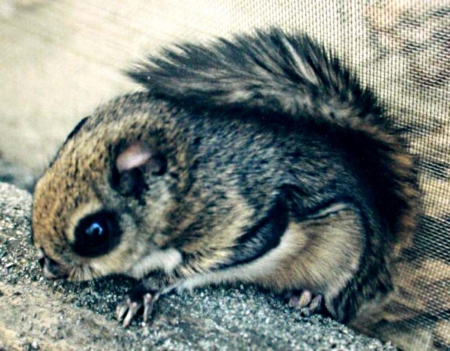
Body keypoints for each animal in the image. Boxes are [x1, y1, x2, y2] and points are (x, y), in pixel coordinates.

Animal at [30, 29, 418, 332]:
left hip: (346, 248)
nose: (48, 267)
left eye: (95, 232)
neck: (185, 183)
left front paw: (144, 291)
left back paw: (310, 298)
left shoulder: (243, 221)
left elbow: (193, 267)